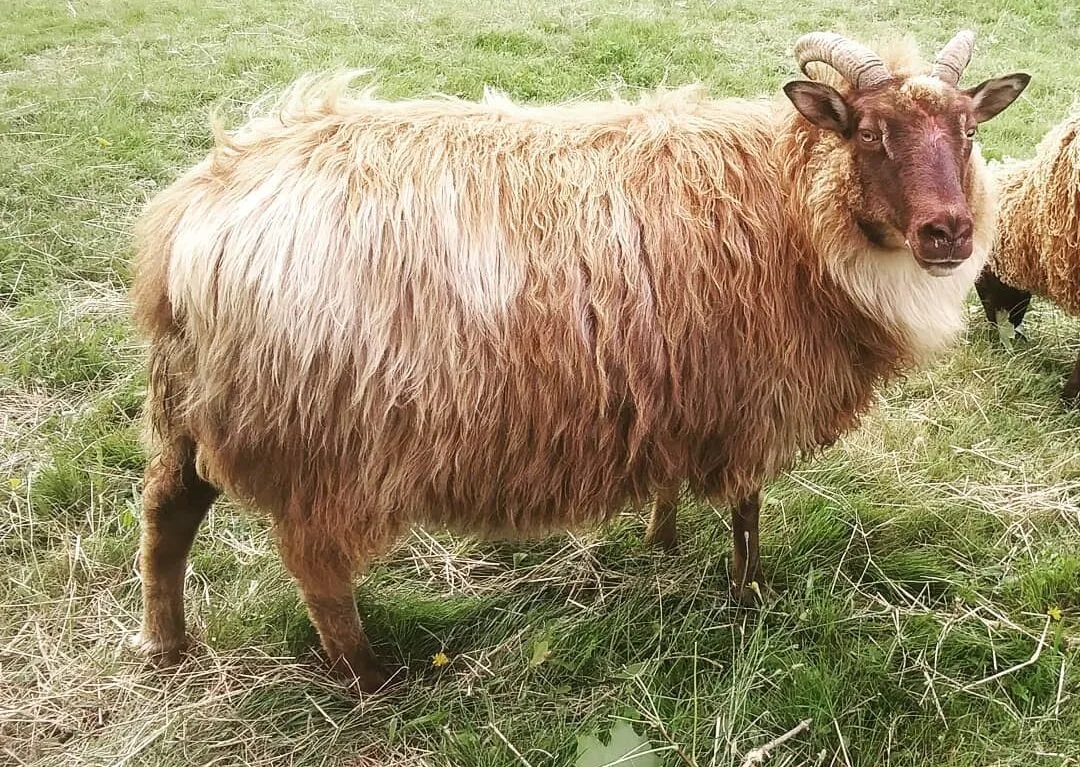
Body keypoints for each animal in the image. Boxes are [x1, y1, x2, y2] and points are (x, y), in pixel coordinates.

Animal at [129, 30, 1028, 692]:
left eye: (970, 132)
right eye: (871, 132)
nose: (950, 233)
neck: (792, 203)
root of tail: (190, 214)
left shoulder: (679, 380)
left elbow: (675, 485)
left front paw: (663, 540)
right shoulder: (753, 395)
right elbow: (747, 509)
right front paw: (749, 596)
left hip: (195, 402)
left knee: (166, 513)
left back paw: (167, 646)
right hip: (318, 434)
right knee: (313, 565)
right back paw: (370, 677)